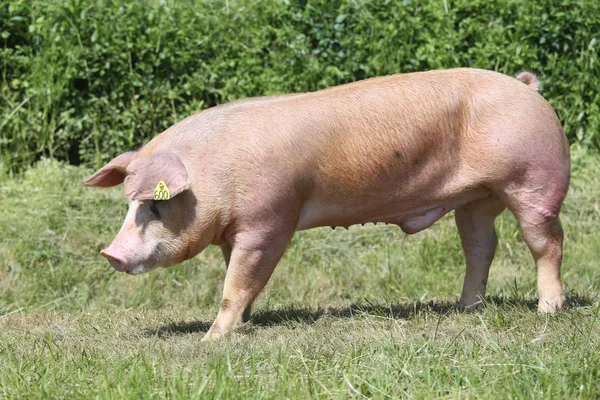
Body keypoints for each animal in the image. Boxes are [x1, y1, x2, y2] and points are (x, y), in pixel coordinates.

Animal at [83, 68, 568, 340]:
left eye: (154, 206)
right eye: (127, 205)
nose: (109, 253)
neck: (213, 176)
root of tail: (527, 88)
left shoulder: (269, 222)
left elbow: (236, 284)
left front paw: (211, 340)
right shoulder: (235, 232)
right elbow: (238, 279)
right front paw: (246, 322)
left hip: (533, 180)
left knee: (547, 243)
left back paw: (548, 310)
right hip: (477, 197)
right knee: (481, 247)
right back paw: (466, 308)